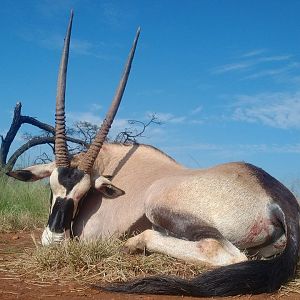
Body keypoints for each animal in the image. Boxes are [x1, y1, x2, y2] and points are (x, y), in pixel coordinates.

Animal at [5, 12, 298, 298]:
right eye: (51, 186)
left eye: (83, 194)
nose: (54, 240)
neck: (109, 163)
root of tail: (274, 195)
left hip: (159, 203)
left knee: (220, 251)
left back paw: (133, 244)